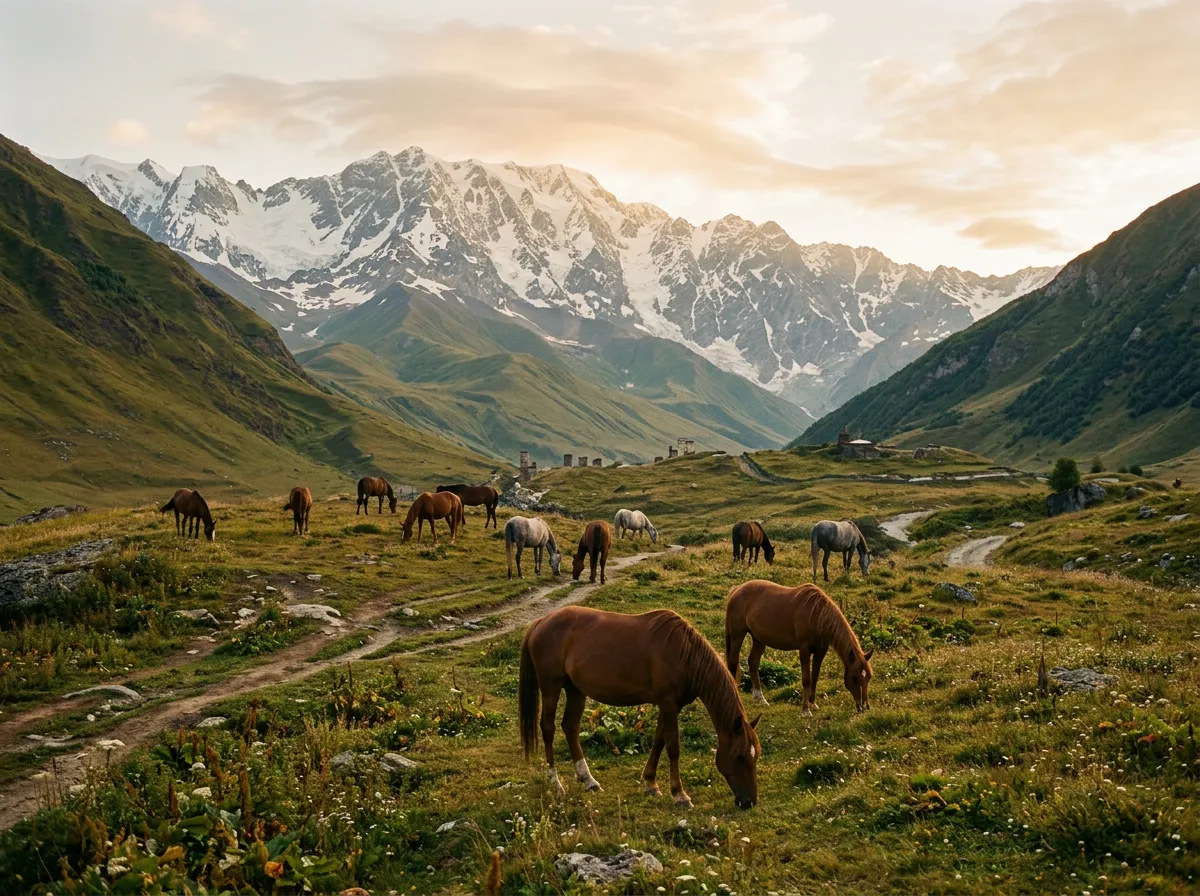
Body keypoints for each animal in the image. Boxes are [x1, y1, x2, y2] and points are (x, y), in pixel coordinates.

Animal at [520, 606, 761, 809]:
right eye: (740, 756)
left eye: (755, 755)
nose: (749, 802)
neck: (684, 654)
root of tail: (542, 622)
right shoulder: (668, 703)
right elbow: (673, 747)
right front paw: (679, 794)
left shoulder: (669, 706)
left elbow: (659, 741)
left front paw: (651, 783)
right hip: (551, 686)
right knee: (548, 728)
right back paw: (556, 782)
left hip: (575, 690)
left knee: (570, 727)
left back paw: (588, 780)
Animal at [724, 580, 873, 714]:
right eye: (854, 678)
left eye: (868, 677)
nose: (864, 707)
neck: (817, 614)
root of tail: (737, 589)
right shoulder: (804, 650)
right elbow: (806, 679)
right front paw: (806, 710)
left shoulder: (820, 651)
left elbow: (815, 676)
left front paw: (813, 704)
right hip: (737, 635)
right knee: (733, 663)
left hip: (758, 639)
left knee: (753, 662)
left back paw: (760, 699)